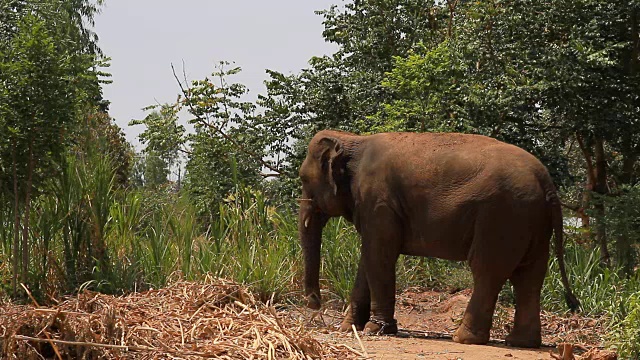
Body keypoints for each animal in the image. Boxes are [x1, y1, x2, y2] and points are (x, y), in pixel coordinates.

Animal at [298, 129, 580, 348]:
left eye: (302, 178)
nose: (314, 303)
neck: (354, 139)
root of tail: (547, 182)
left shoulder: (378, 201)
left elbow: (379, 255)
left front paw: (375, 329)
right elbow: (369, 258)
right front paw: (349, 328)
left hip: (502, 217)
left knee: (487, 271)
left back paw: (464, 338)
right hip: (532, 221)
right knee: (529, 276)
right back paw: (520, 343)